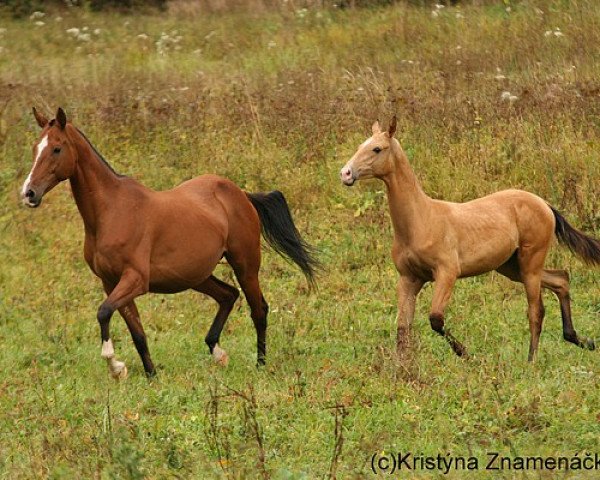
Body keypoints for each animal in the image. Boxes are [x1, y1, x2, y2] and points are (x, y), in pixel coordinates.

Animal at [22, 108, 318, 378]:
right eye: (36, 148)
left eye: (56, 149)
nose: (29, 193)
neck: (112, 211)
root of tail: (241, 194)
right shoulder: (111, 282)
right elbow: (137, 332)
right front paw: (150, 374)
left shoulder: (135, 279)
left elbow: (104, 312)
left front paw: (116, 366)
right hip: (195, 275)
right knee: (228, 295)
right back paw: (218, 352)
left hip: (245, 265)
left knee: (258, 309)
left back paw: (260, 364)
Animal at [342, 117, 600, 360]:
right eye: (360, 145)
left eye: (377, 149)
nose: (345, 173)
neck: (421, 221)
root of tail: (544, 205)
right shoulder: (409, 278)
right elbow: (403, 328)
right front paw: (402, 368)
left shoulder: (447, 272)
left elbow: (435, 318)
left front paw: (465, 354)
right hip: (511, 266)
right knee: (561, 279)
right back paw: (582, 340)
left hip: (530, 261)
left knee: (536, 310)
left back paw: (531, 361)